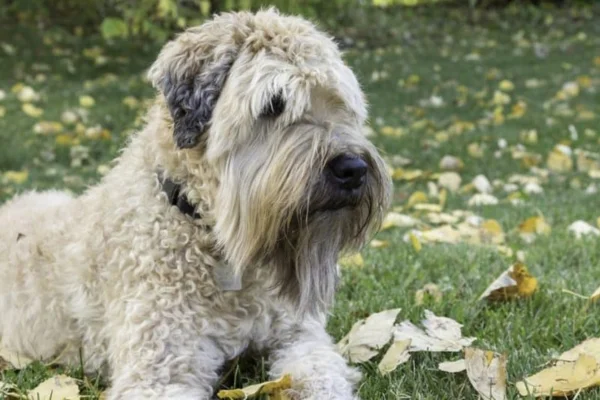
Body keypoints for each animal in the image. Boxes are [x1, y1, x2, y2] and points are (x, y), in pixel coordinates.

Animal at [0, 9, 390, 400]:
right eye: (273, 105)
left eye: (340, 102)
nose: (352, 169)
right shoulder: (158, 371)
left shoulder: (299, 336)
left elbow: (321, 374)